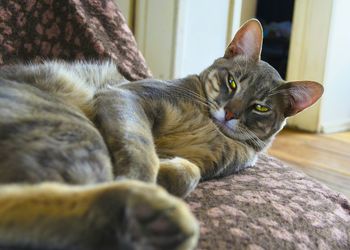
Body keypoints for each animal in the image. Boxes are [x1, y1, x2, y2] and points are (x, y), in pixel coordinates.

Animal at [0, 19, 322, 250]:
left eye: (261, 107)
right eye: (232, 82)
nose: (230, 113)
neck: (208, 125)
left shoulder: (209, 162)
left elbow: (188, 172)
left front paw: (167, 173)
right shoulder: (126, 97)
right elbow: (142, 151)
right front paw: (143, 178)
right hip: (72, 127)